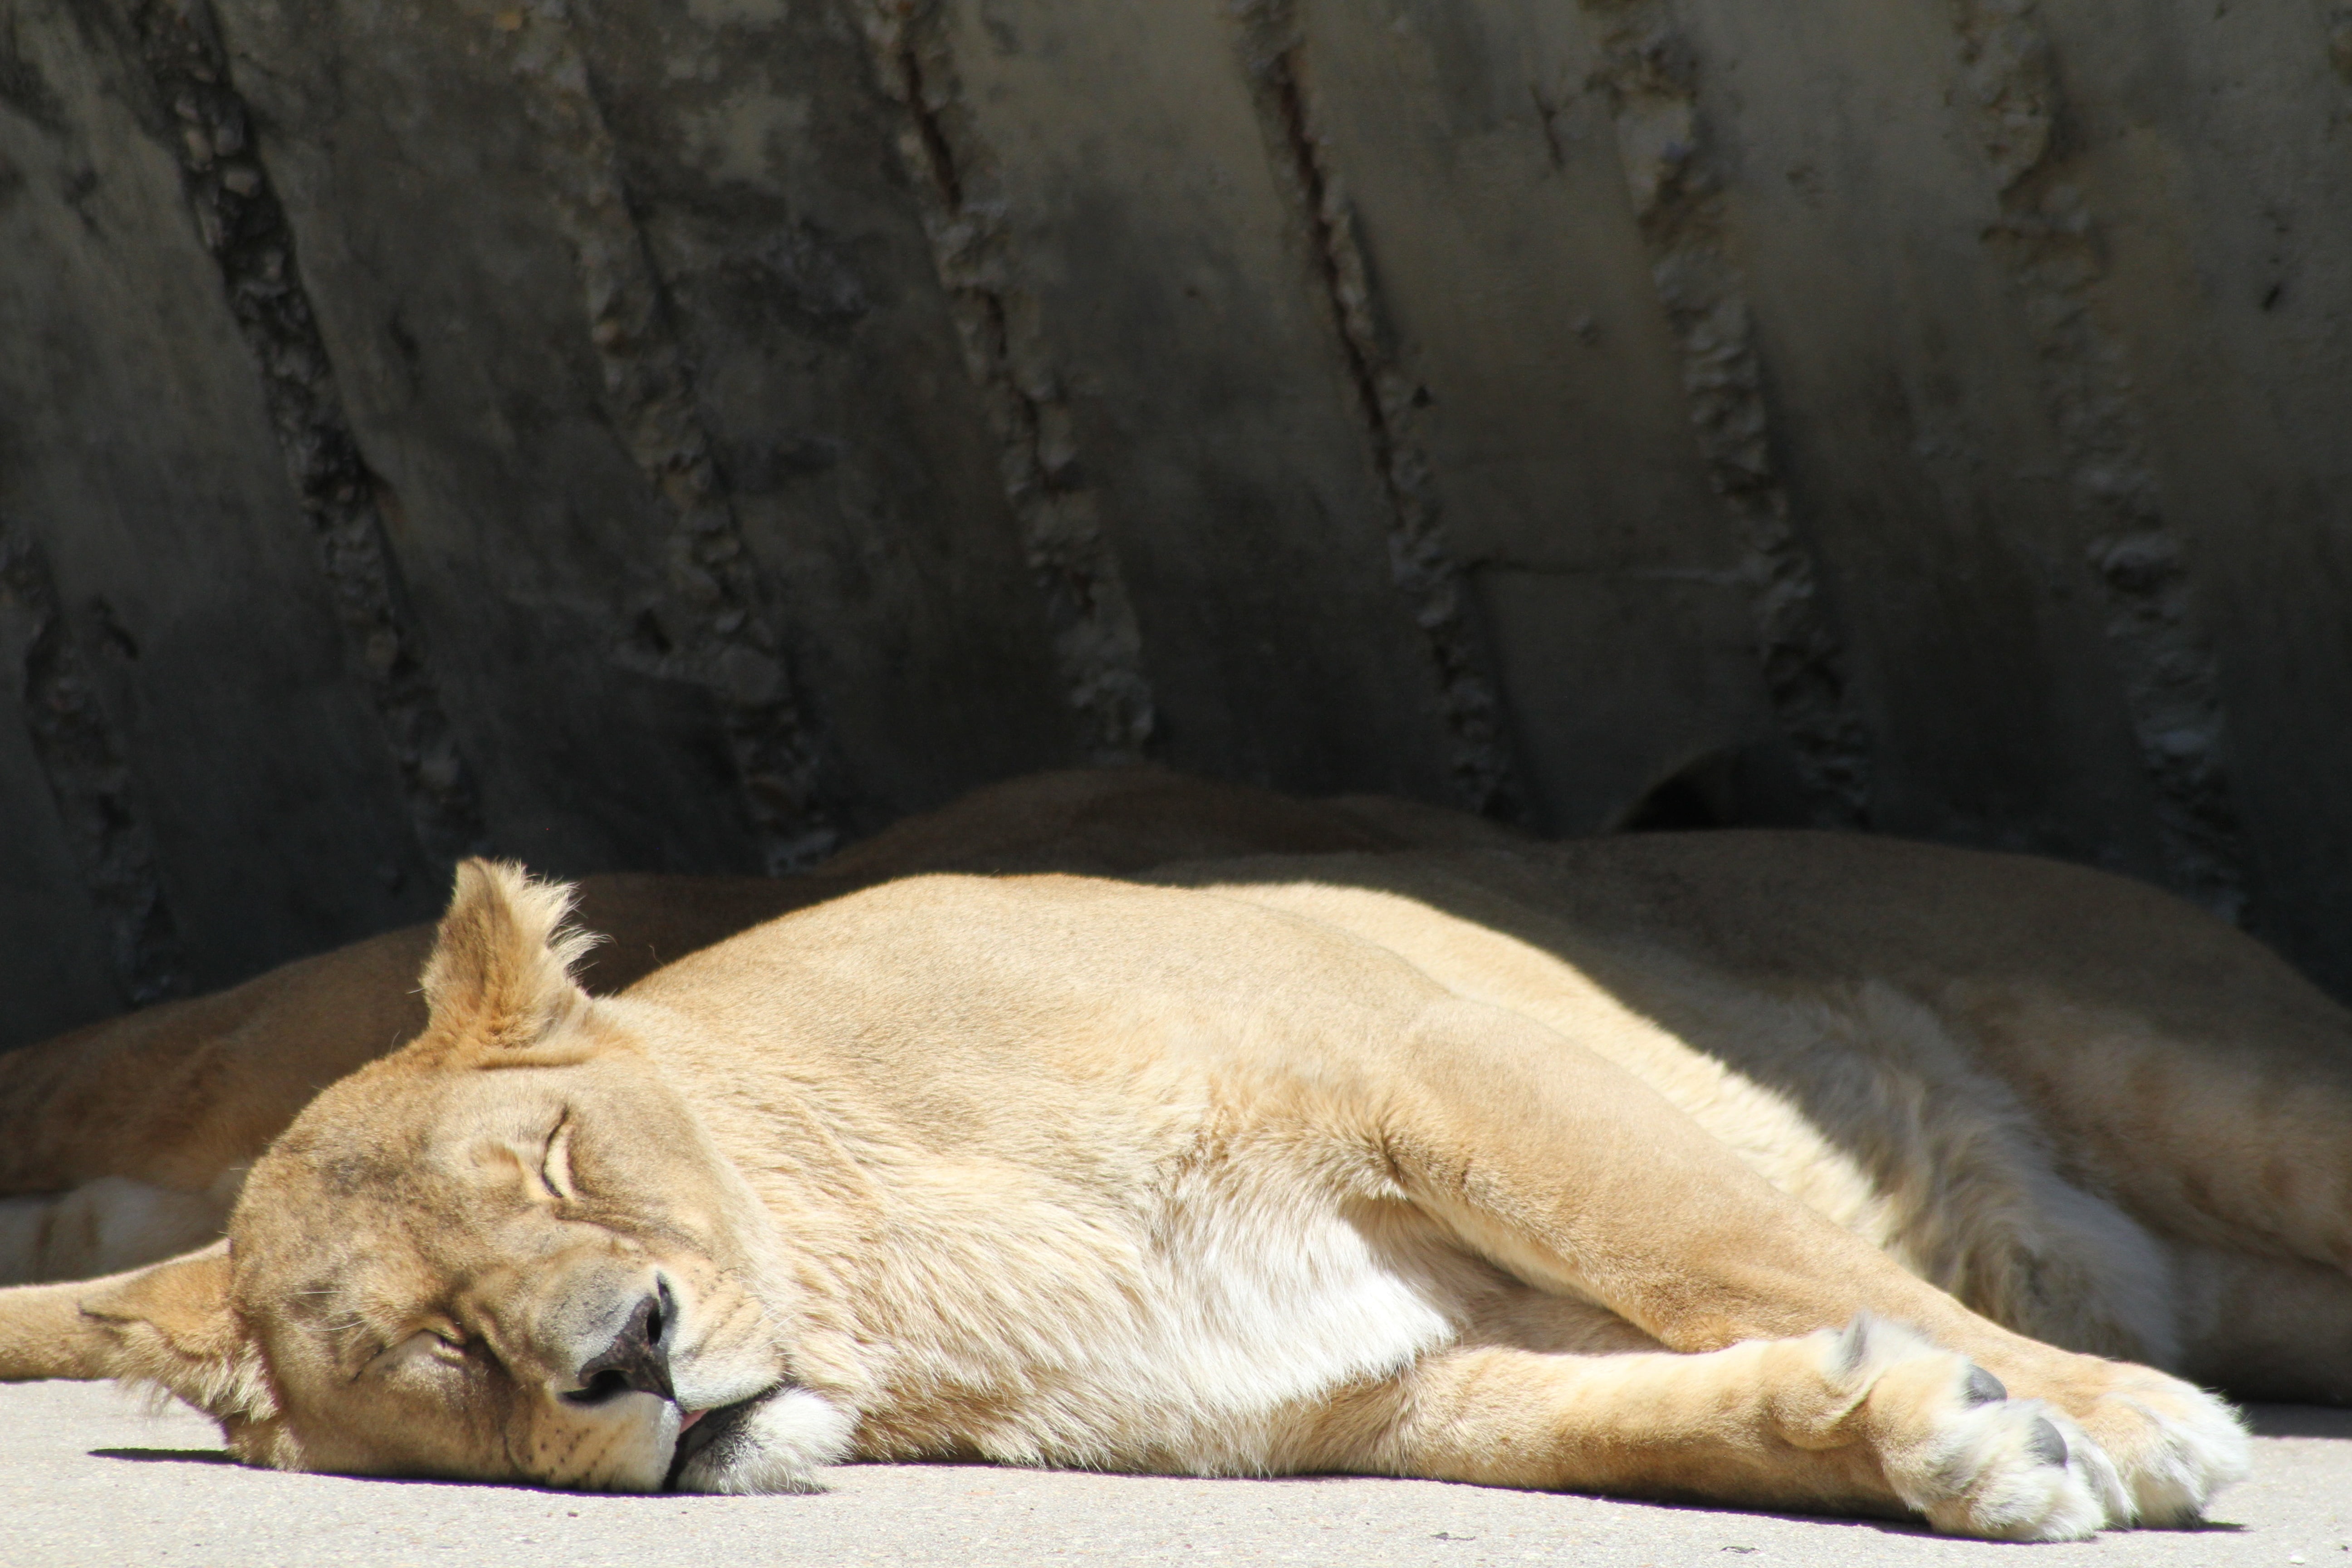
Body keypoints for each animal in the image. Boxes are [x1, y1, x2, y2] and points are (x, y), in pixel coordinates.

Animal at [14, 808, 2334, 1538]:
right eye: (442, 1343)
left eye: (562, 1158)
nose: (633, 1353)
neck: (895, 1282)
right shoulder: (1371, 1387)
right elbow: (1667, 1409)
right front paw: (1936, 1435)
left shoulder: (1441, 1054)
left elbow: (1724, 1249)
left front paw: (2121, 1423)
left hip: (2227, 1090)